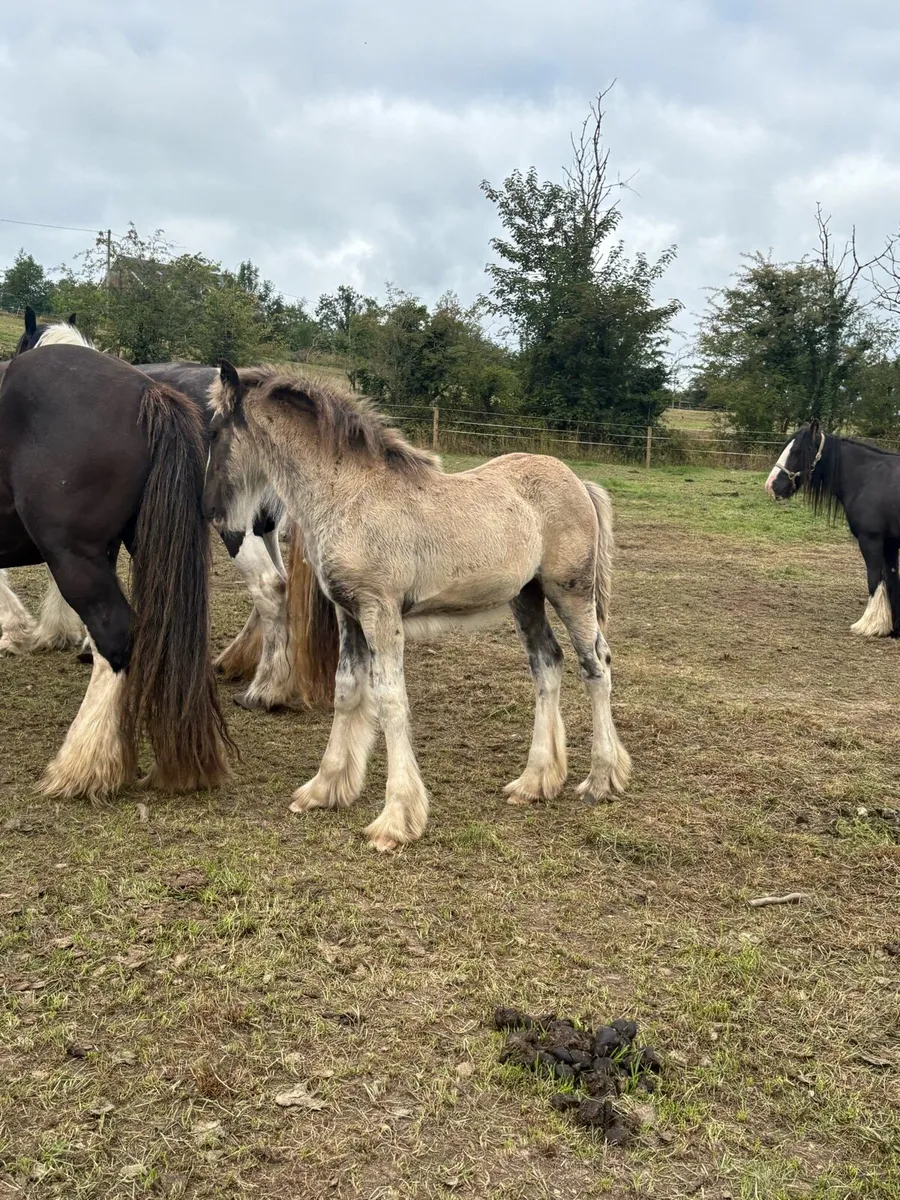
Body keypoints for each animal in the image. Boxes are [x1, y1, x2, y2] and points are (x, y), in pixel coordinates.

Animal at [204, 362, 631, 852]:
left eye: (214, 430)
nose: (209, 509)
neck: (350, 493)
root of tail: (579, 481)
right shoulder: (349, 613)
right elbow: (347, 690)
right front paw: (324, 789)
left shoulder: (380, 613)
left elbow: (391, 700)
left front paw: (395, 820)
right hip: (526, 597)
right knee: (548, 665)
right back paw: (535, 782)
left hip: (571, 592)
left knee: (595, 665)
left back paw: (601, 780)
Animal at [766, 420, 900, 637]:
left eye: (796, 451)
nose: (771, 485)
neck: (869, 477)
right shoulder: (890, 544)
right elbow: (892, 581)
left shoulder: (871, 540)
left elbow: (874, 579)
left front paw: (869, 625)